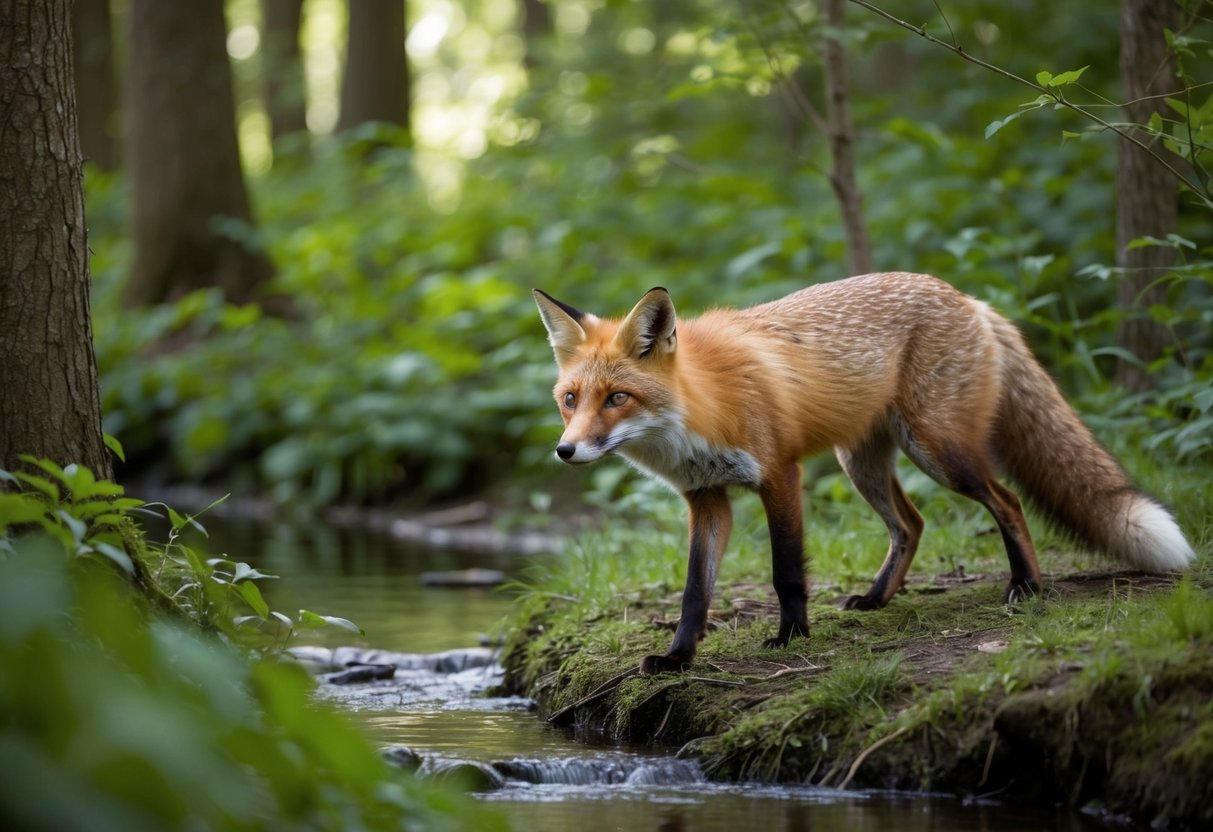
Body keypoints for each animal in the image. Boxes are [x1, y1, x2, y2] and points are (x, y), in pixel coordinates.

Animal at [533, 273, 1195, 674]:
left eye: (617, 398)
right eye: (570, 399)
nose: (566, 451)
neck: (700, 406)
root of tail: (967, 297)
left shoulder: (780, 475)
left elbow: (786, 572)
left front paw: (791, 637)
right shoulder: (708, 499)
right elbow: (696, 592)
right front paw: (677, 657)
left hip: (941, 453)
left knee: (1006, 501)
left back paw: (1025, 585)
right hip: (863, 465)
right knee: (913, 523)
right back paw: (878, 598)